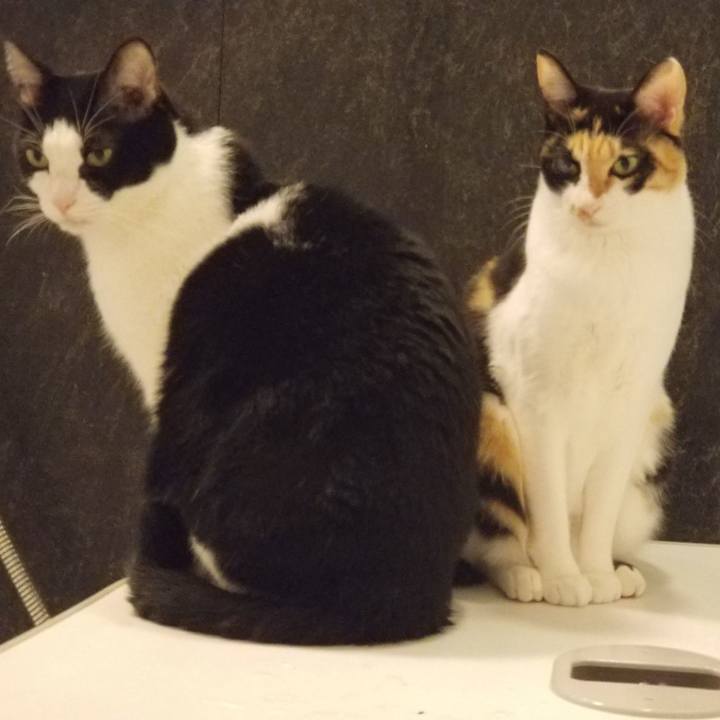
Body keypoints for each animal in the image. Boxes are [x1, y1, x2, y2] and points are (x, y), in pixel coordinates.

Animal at [461, 51, 693, 606]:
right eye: (568, 163)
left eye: (624, 164)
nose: (587, 204)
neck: (607, 264)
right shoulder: (534, 398)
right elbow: (544, 505)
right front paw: (564, 578)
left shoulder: (632, 399)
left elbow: (600, 509)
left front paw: (597, 574)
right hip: (490, 419)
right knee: (496, 537)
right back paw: (525, 577)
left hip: (654, 432)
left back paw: (622, 571)